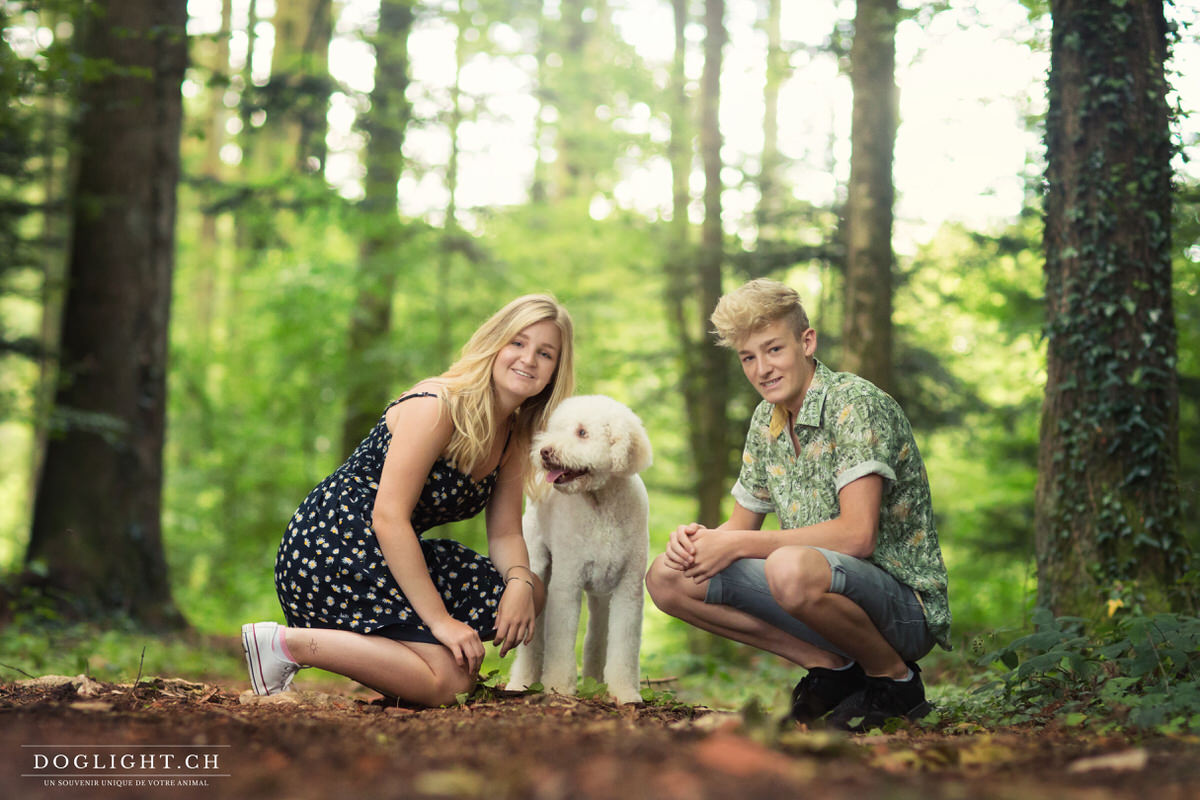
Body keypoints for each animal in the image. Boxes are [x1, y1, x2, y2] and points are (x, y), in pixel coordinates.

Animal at [508, 393, 657, 700]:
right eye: (556, 429)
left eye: (582, 432)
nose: (545, 451)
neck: (601, 504)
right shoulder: (567, 582)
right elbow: (560, 641)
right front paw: (558, 687)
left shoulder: (628, 589)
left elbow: (623, 646)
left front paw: (625, 692)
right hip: (538, 565)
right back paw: (522, 682)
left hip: (601, 596)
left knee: (596, 637)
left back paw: (594, 683)